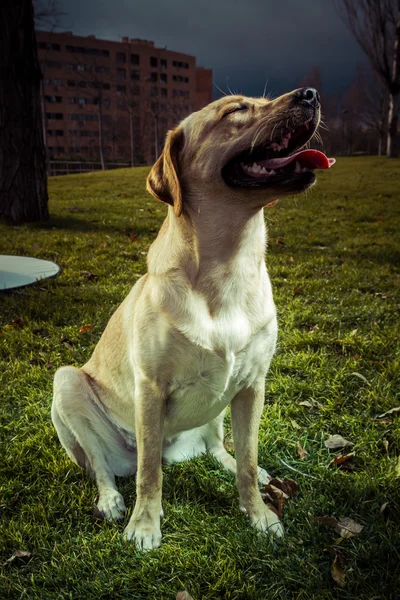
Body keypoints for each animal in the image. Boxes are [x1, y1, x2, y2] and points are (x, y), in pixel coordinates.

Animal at [52, 86, 334, 552]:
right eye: (236, 109)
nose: (310, 94)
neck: (229, 266)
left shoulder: (253, 384)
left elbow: (248, 460)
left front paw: (259, 514)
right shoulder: (150, 388)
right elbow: (149, 472)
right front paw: (145, 525)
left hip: (223, 401)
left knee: (221, 447)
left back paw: (236, 465)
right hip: (67, 382)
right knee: (104, 466)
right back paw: (111, 500)